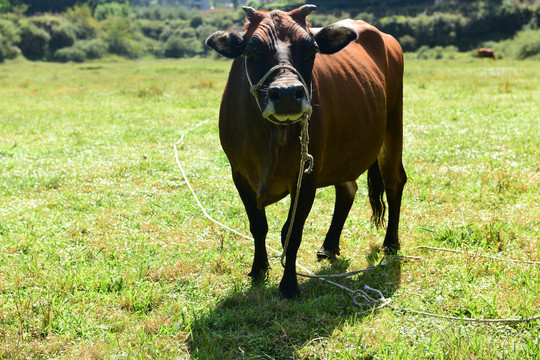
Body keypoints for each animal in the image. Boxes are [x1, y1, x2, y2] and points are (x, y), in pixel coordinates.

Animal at [206, 4, 404, 298]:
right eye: (251, 51)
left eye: (311, 50)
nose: (288, 94)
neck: (271, 140)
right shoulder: (239, 174)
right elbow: (258, 226)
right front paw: (259, 269)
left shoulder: (307, 176)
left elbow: (291, 233)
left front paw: (289, 285)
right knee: (348, 189)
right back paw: (330, 245)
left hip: (392, 130)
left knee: (394, 182)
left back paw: (390, 243)